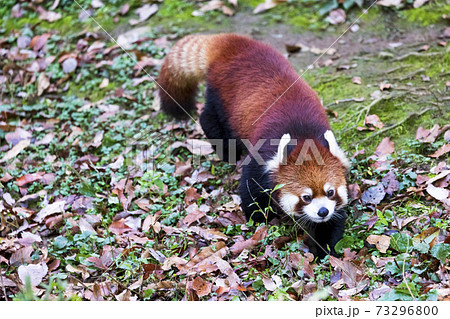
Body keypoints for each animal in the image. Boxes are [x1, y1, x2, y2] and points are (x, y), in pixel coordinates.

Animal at [160, 33, 350, 260]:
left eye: (330, 192)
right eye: (306, 197)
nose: (323, 211)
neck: (304, 138)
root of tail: (230, 43)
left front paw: (324, 248)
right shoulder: (264, 154)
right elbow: (250, 187)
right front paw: (258, 217)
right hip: (223, 97)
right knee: (210, 119)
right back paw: (227, 150)